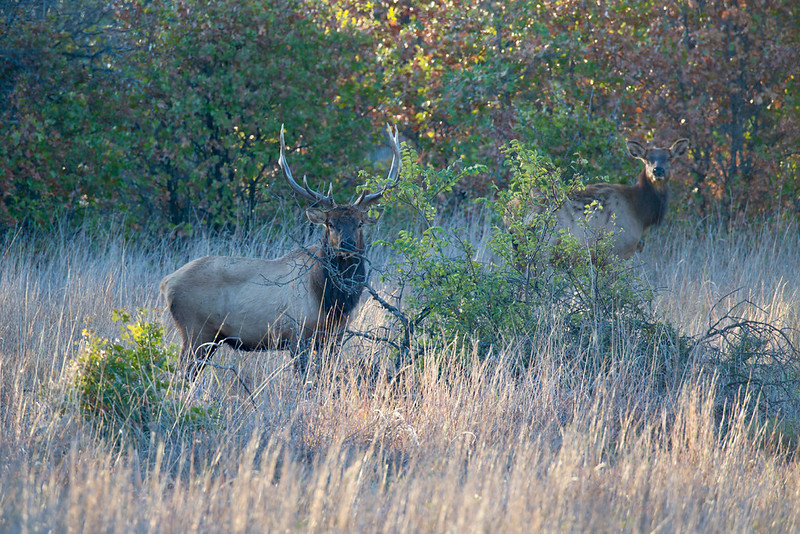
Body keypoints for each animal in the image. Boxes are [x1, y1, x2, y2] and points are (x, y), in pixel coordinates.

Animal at [160, 124, 401, 381]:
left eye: (359, 223)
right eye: (330, 223)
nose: (346, 245)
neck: (331, 300)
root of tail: (166, 282)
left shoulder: (334, 337)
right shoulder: (296, 334)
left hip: (208, 338)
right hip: (195, 330)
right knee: (181, 372)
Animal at [508, 137, 689, 262]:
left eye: (668, 158)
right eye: (647, 159)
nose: (658, 170)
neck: (640, 212)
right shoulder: (616, 251)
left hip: (518, 247)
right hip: (544, 245)